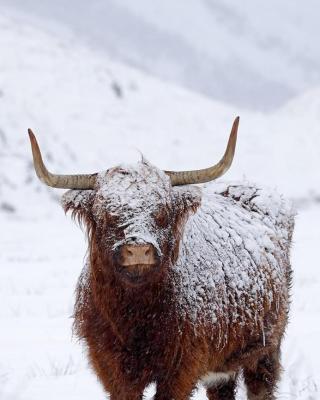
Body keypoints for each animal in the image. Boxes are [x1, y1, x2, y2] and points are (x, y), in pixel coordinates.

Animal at [28, 116, 294, 400]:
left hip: (266, 346)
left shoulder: (181, 368)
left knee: (261, 386)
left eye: (163, 211)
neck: (135, 314)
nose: (137, 249)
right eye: (106, 214)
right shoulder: (113, 370)